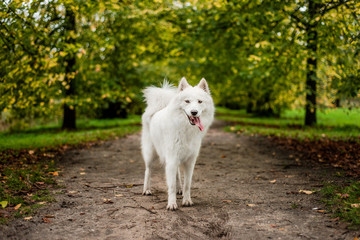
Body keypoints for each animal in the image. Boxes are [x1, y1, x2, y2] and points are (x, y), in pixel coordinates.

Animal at [141, 77, 214, 210]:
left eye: (200, 101)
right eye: (187, 101)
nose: (194, 112)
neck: (185, 129)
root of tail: (155, 111)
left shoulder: (190, 161)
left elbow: (187, 184)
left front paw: (187, 200)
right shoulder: (172, 160)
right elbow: (171, 186)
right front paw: (172, 204)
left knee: (177, 174)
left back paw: (179, 189)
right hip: (150, 154)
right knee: (148, 170)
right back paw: (146, 190)